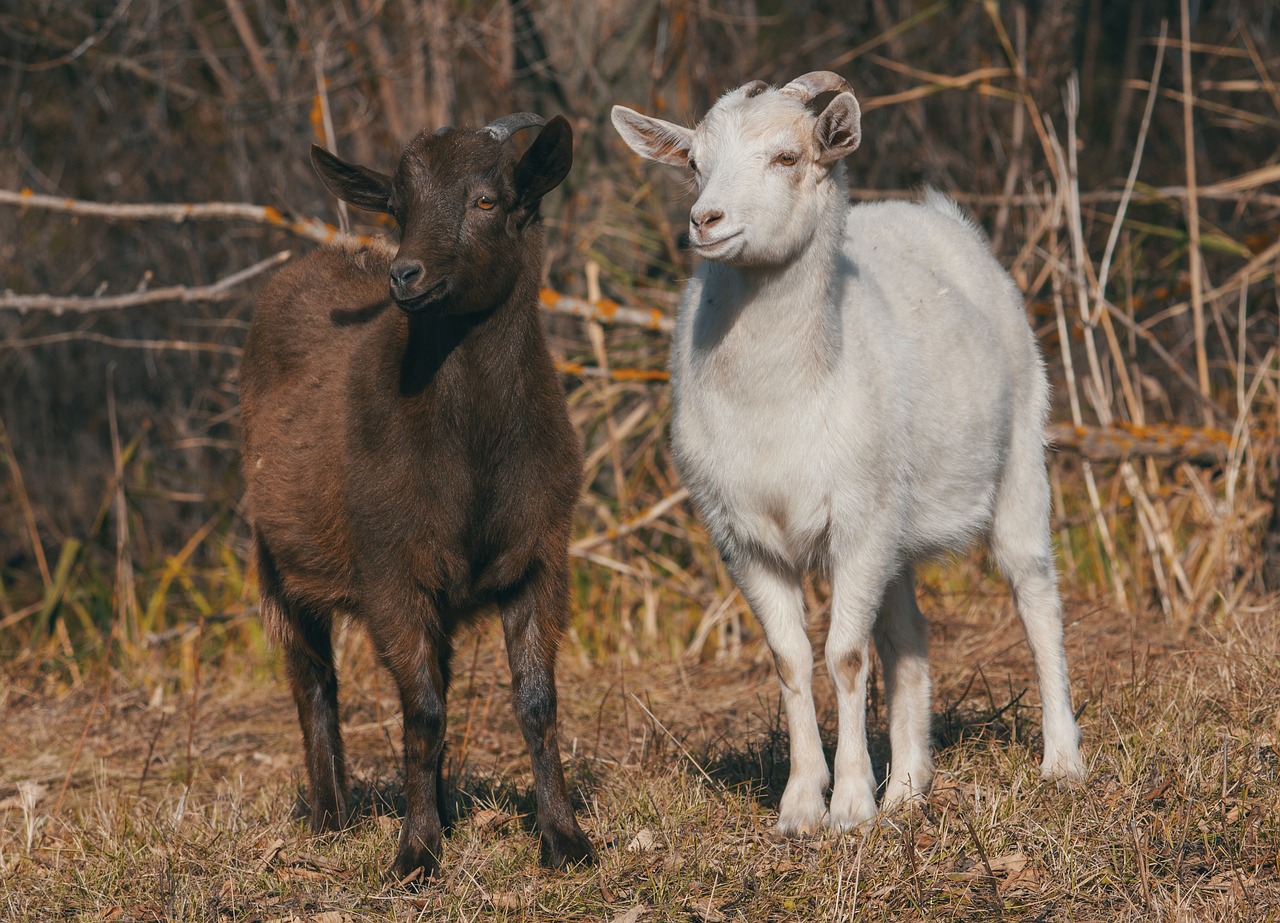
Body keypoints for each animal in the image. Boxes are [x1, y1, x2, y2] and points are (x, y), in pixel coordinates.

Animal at [240, 115, 593, 880]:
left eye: (488, 200)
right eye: (398, 208)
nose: (406, 274)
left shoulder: (539, 556)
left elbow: (536, 701)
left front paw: (564, 839)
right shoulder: (390, 569)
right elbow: (421, 710)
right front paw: (416, 854)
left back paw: (441, 807)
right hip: (277, 560)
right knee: (312, 680)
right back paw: (332, 815)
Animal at [609, 73, 1080, 834]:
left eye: (788, 157)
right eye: (694, 163)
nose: (705, 220)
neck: (780, 398)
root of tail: (938, 216)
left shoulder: (857, 524)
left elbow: (847, 656)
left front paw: (852, 806)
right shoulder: (743, 536)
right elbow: (792, 659)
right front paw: (803, 805)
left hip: (1017, 462)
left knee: (1036, 595)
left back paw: (1061, 761)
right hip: (897, 517)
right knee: (909, 637)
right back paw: (910, 786)